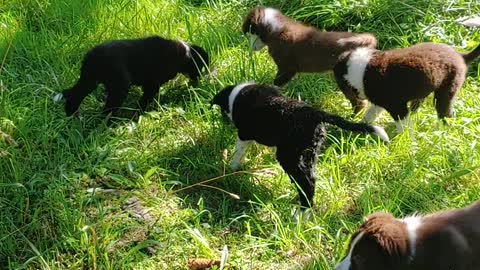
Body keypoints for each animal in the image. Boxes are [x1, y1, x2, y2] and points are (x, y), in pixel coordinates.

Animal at [54, 35, 208, 116]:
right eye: (201, 66)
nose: (200, 79)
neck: (184, 55)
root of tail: (93, 56)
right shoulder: (152, 83)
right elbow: (146, 99)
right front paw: (140, 112)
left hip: (89, 80)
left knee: (74, 94)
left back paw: (71, 114)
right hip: (118, 86)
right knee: (107, 108)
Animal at [211, 82, 390, 209]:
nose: (224, 122)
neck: (235, 96)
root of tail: (314, 113)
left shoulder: (244, 133)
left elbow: (239, 151)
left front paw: (231, 167)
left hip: (289, 155)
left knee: (306, 183)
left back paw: (301, 213)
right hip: (309, 152)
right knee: (311, 178)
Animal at [242, 6, 376, 113]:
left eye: (251, 32)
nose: (250, 47)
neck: (277, 30)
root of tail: (367, 41)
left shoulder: (287, 68)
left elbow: (276, 83)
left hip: (344, 78)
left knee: (359, 102)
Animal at [334, 42, 480, 135]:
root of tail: (461, 56)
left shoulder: (396, 106)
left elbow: (403, 126)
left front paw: (406, 143)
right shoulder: (380, 102)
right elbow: (370, 114)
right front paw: (361, 128)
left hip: (447, 89)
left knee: (446, 113)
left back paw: (441, 131)